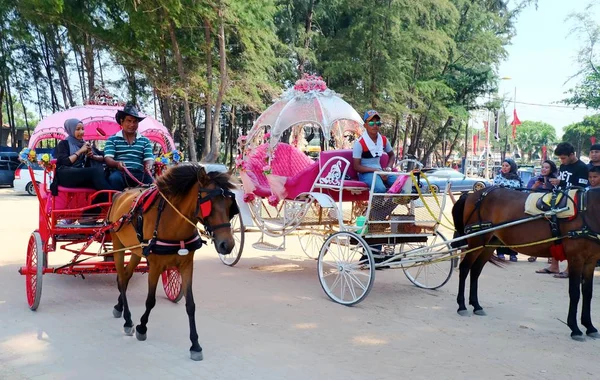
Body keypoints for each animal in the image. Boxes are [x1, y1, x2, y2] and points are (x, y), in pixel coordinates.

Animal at [108, 163, 239, 360]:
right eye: (209, 205)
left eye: (231, 205)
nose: (227, 245)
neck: (173, 222)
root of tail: (119, 194)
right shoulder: (155, 266)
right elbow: (150, 301)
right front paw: (142, 327)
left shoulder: (187, 265)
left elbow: (190, 305)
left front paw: (195, 345)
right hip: (118, 244)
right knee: (122, 279)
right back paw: (128, 319)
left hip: (136, 250)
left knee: (126, 275)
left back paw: (119, 307)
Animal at [452, 187, 600, 342]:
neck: (587, 210)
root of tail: (473, 193)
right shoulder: (575, 258)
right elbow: (575, 293)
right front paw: (575, 328)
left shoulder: (590, 261)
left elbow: (588, 293)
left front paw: (590, 326)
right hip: (476, 241)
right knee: (464, 268)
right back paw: (462, 305)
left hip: (489, 243)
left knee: (475, 270)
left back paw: (476, 305)